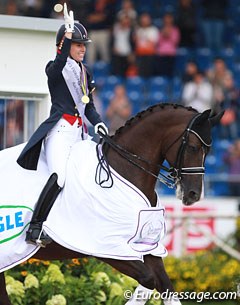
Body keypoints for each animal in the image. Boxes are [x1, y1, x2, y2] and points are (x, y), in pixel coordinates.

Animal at [0, 103, 223, 302]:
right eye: (193, 147)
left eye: (208, 151)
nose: (193, 194)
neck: (124, 170)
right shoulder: (110, 249)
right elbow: (148, 280)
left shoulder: (147, 246)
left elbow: (164, 286)